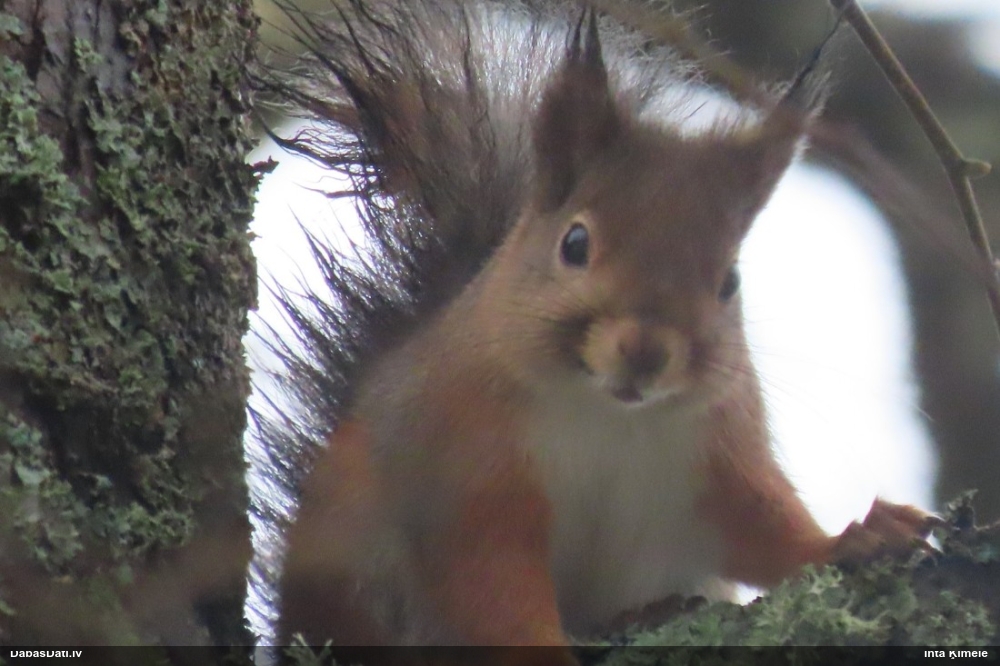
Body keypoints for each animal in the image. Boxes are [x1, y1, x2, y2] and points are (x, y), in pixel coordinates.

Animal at [258, 0, 938, 651]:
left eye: (730, 282)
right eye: (575, 243)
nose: (645, 351)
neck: (609, 416)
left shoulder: (721, 460)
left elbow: (768, 533)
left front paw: (858, 537)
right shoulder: (467, 478)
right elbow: (492, 588)